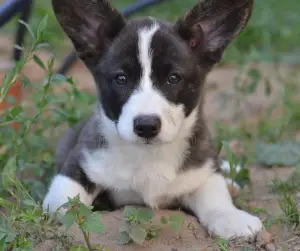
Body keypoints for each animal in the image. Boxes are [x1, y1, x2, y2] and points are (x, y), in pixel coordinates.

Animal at [42, 0, 262, 240]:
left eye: (173, 78)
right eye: (121, 78)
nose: (146, 126)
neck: (149, 155)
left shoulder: (202, 170)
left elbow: (215, 194)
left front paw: (231, 217)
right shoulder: (81, 161)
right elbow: (66, 201)